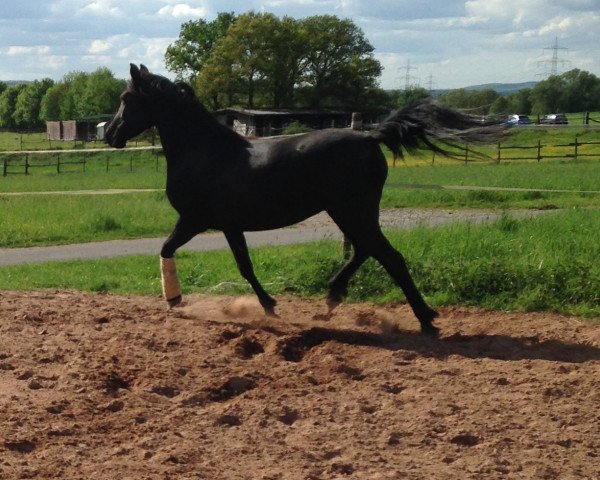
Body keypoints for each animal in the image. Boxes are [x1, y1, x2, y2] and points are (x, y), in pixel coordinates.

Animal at [106, 63, 502, 336]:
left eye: (127, 99)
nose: (110, 134)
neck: (205, 151)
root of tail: (369, 136)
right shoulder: (230, 226)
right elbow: (245, 266)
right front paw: (269, 306)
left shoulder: (194, 220)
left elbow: (166, 248)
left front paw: (174, 299)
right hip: (349, 212)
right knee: (365, 250)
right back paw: (333, 297)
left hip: (352, 211)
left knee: (389, 257)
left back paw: (426, 321)